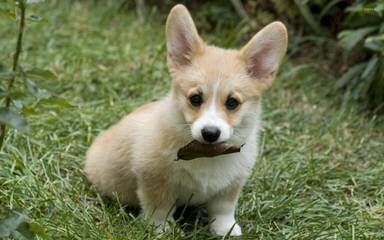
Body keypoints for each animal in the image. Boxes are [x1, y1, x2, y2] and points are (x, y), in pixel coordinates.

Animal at [85, 3, 288, 236]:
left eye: (232, 103)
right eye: (195, 99)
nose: (210, 133)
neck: (207, 154)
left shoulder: (232, 184)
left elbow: (224, 209)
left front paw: (226, 230)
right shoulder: (153, 178)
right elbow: (160, 208)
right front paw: (161, 231)